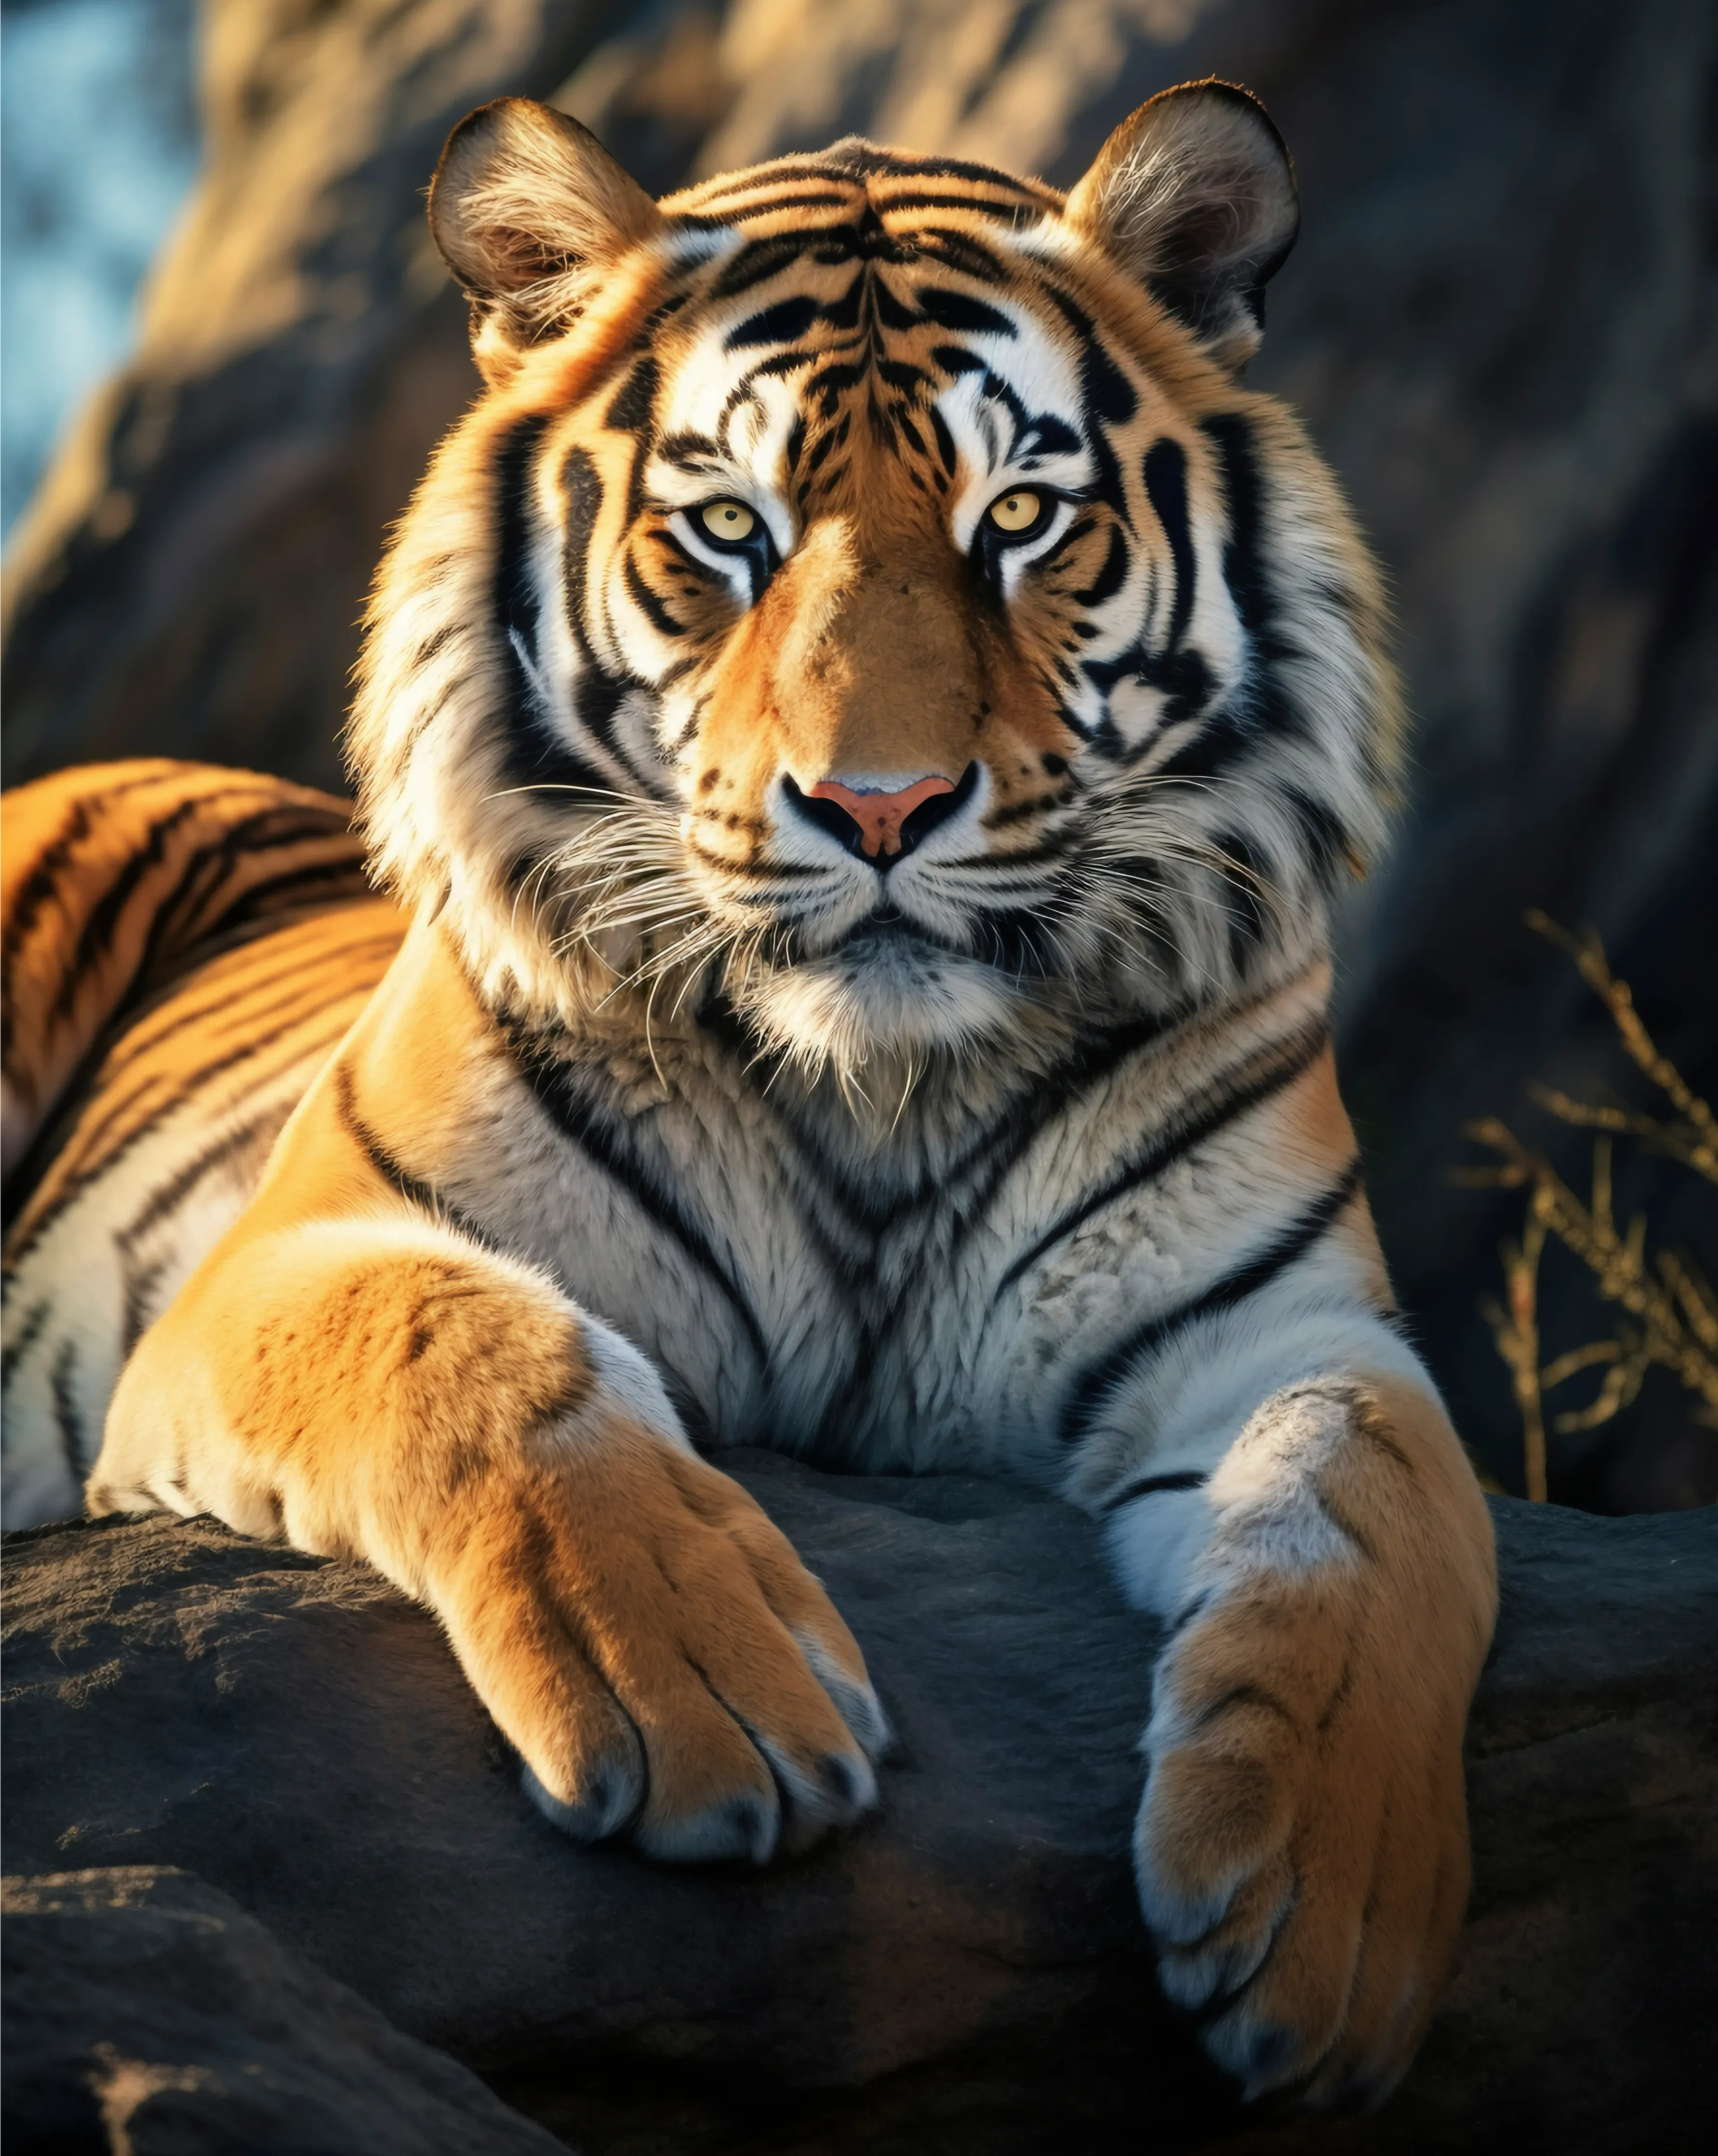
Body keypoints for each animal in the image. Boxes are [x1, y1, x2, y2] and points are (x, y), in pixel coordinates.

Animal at [0, 81, 1496, 2106]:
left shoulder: (1292, 1325)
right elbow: (484, 1357)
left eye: (1021, 519)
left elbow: (1379, 1517)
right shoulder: (297, 1251)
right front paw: (714, 1708)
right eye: (726, 526)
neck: (879, 1088)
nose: (880, 806)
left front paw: (1329, 1926)